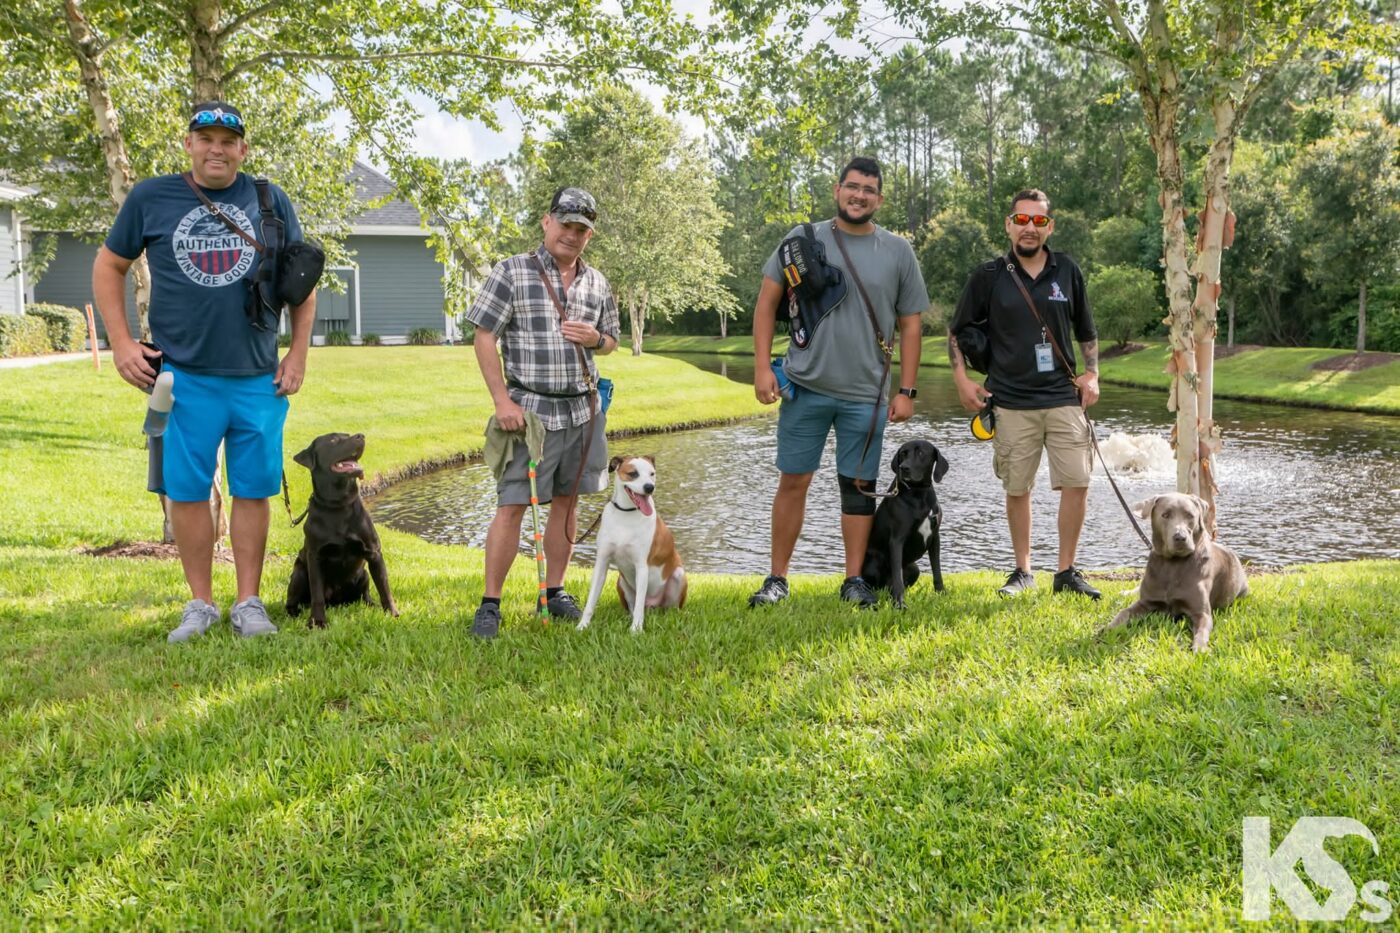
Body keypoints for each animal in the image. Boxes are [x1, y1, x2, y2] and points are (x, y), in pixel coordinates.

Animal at [576, 451, 686, 633]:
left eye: (652, 474)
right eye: (633, 473)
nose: (649, 487)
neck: (626, 513)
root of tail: (652, 606)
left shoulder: (642, 567)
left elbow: (640, 604)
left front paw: (636, 630)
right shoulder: (602, 563)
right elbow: (591, 600)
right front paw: (582, 625)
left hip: (678, 576)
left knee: (666, 607)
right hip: (620, 581)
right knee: (633, 607)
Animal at [1103, 490, 1248, 650]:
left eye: (1190, 515)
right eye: (1165, 515)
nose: (1180, 537)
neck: (1172, 564)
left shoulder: (1201, 612)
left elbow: (1202, 631)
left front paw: (1200, 649)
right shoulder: (1146, 602)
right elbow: (1123, 612)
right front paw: (1108, 628)